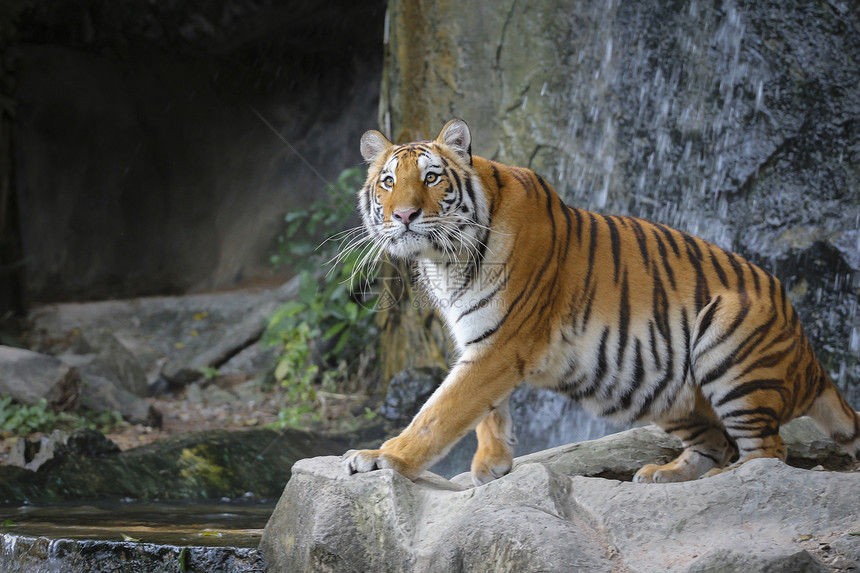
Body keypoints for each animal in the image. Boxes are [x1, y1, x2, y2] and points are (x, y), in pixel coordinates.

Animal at [342, 118, 860, 484]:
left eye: (431, 178)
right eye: (387, 182)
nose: (404, 216)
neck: (444, 260)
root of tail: (811, 355)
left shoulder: (501, 345)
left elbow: (440, 413)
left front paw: (382, 457)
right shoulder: (482, 342)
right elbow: (487, 412)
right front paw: (493, 466)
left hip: (728, 341)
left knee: (769, 453)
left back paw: (725, 478)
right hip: (665, 393)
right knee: (717, 442)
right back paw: (663, 475)